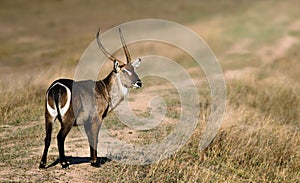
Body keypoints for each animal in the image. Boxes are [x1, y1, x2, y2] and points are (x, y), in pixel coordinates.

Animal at [39, 28, 142, 169]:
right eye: (125, 71)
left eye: (133, 69)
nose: (139, 83)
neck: (104, 89)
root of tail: (56, 87)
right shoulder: (96, 119)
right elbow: (94, 138)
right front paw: (94, 162)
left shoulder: (87, 122)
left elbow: (89, 138)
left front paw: (93, 160)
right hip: (67, 120)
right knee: (60, 137)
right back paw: (64, 163)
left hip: (49, 117)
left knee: (47, 137)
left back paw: (42, 164)